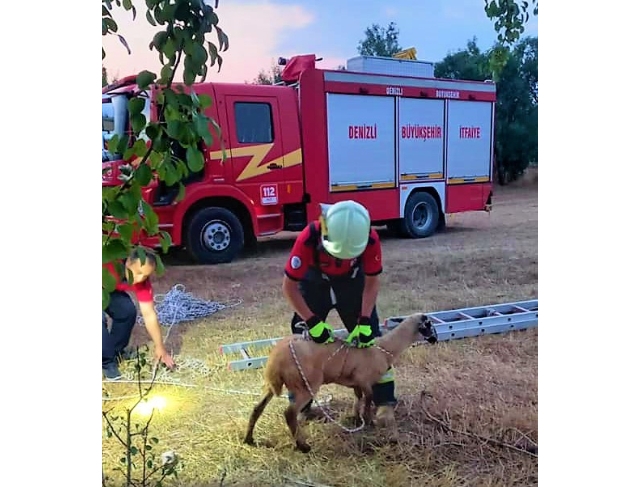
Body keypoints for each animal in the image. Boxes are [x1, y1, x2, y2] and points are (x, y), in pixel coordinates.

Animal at [244, 312, 436, 454]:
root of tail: (276, 359)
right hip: (306, 385)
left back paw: (249, 439)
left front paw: (356, 417)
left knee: (257, 408)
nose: (434, 340)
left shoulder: (357, 382)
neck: (385, 349)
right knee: (289, 413)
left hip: (271, 385)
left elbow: (358, 398)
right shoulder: (366, 381)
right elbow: (368, 399)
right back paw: (303, 446)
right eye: (429, 326)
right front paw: (368, 420)